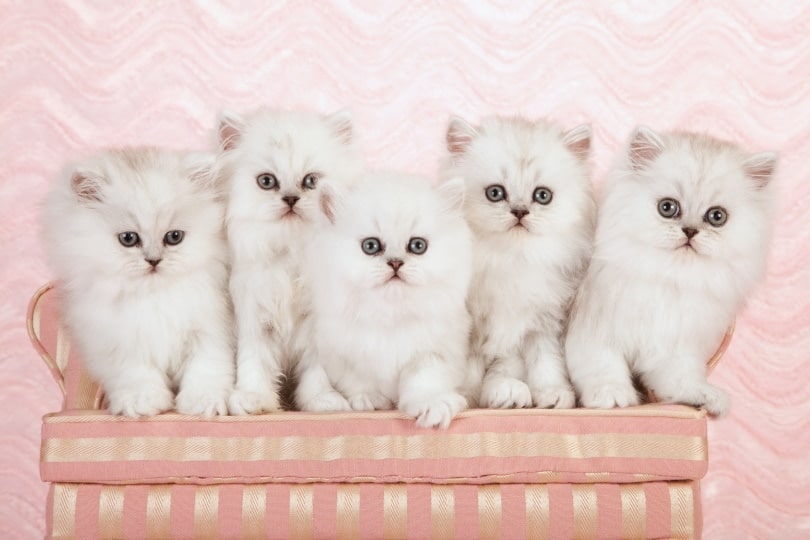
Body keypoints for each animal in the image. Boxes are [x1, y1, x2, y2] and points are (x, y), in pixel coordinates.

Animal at [42, 148, 234, 418]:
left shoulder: (211, 333)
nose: (153, 261)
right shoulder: (122, 344)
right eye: (128, 239)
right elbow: (137, 376)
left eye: (174, 237)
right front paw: (143, 403)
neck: (154, 297)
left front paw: (204, 403)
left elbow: (207, 370)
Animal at [218, 107, 362, 416]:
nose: (291, 198)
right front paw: (252, 399)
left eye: (310, 181)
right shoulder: (254, 317)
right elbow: (254, 362)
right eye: (267, 181)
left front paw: (323, 401)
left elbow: (317, 370)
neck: (291, 249)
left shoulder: (318, 325)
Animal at [296, 171, 474, 428]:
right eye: (370, 246)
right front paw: (369, 400)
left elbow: (424, 380)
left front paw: (432, 407)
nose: (396, 262)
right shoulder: (340, 352)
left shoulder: (433, 352)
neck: (390, 315)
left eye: (418, 245)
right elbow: (358, 380)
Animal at [442, 115, 592, 410]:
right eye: (495, 193)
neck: (511, 258)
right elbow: (469, 368)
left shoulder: (544, 321)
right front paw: (463, 395)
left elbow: (546, 362)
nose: (520, 211)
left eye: (542, 195)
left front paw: (552, 393)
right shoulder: (472, 326)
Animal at [560, 129, 776, 416]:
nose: (690, 231)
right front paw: (613, 395)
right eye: (667, 208)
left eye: (717, 216)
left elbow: (681, 379)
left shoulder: (675, 347)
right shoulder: (594, 332)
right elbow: (603, 367)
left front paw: (703, 395)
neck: (669, 277)